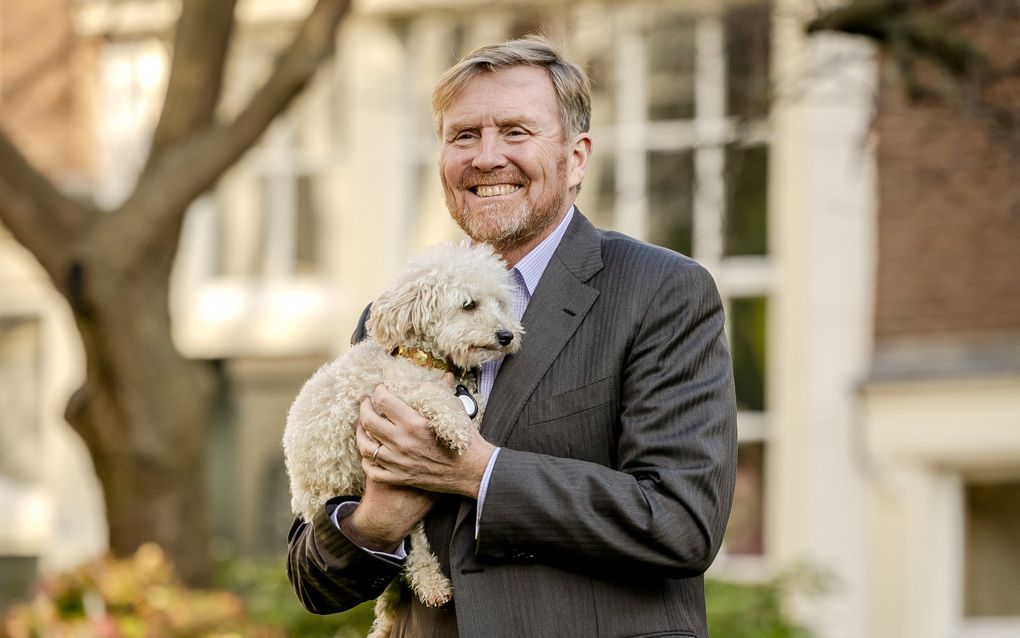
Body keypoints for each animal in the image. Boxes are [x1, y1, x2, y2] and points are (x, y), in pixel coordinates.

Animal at [285, 240, 522, 632]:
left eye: (500, 302)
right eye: (469, 304)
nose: (507, 335)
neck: (423, 357)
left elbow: (474, 402)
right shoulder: (397, 395)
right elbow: (438, 399)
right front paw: (456, 428)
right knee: (413, 546)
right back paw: (431, 583)